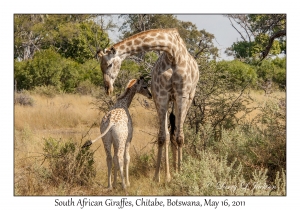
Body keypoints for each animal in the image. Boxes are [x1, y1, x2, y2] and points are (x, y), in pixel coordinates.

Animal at [96, 27, 199, 182]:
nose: (108, 88)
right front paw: (160, 176)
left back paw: (177, 169)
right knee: (170, 132)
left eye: (109, 64)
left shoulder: (182, 95)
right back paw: (171, 171)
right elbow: (162, 137)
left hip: (187, 98)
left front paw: (180, 173)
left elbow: (179, 136)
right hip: (170, 100)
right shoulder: (161, 96)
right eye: (100, 67)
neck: (172, 53)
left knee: (178, 133)